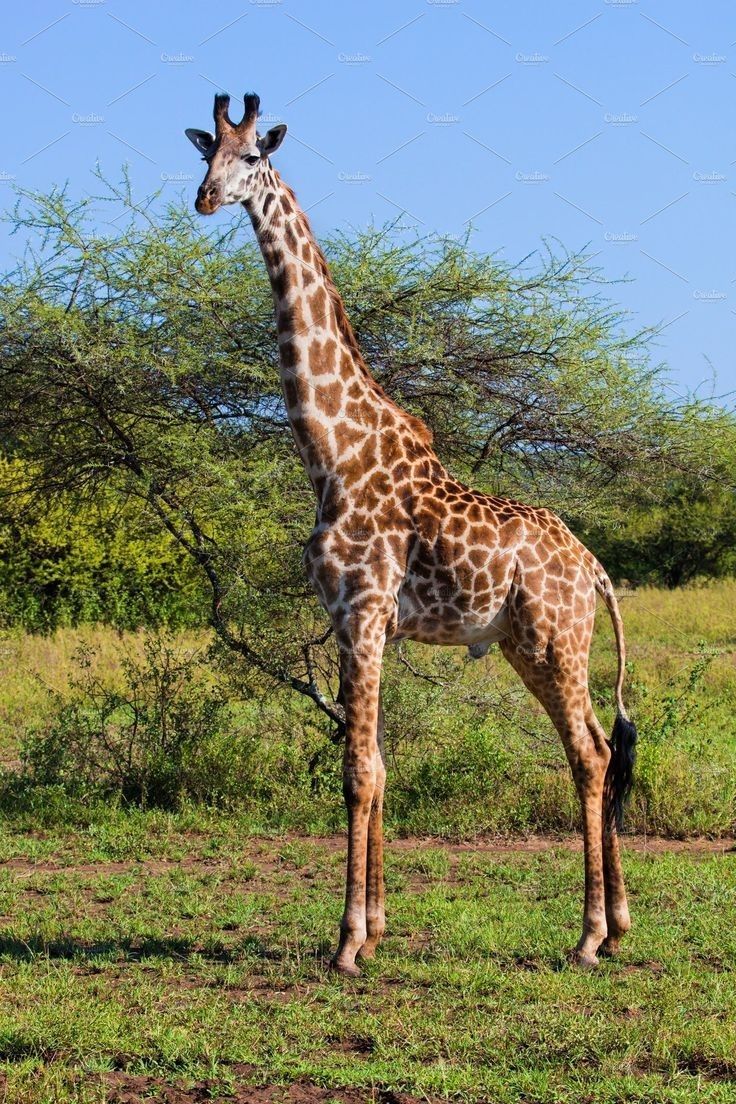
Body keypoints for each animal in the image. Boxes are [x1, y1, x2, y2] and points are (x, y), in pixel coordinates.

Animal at [185, 94, 640, 975]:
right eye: (202, 153)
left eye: (253, 156)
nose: (206, 199)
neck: (332, 450)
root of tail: (596, 569)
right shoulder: (359, 622)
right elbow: (383, 767)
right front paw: (379, 925)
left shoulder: (361, 611)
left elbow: (358, 772)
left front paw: (346, 943)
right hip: (526, 645)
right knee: (602, 746)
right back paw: (619, 923)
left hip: (556, 640)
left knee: (592, 753)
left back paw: (587, 936)